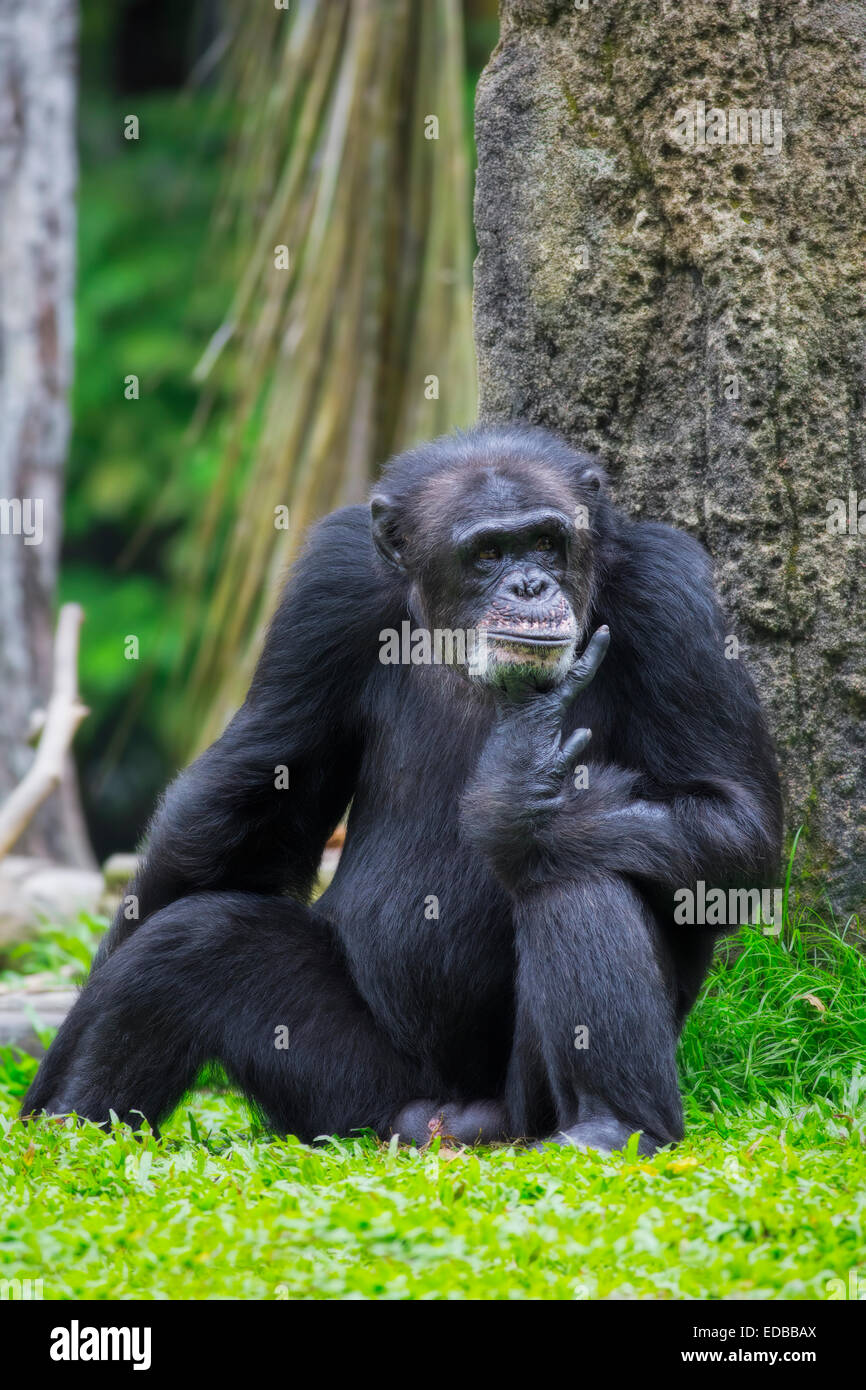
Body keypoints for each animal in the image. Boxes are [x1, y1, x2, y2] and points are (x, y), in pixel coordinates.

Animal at [22, 419, 783, 1150]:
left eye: (546, 541)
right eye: (487, 554)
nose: (530, 587)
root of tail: (449, 1121)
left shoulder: (671, 594)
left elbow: (737, 824)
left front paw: (514, 796)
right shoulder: (330, 586)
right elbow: (249, 801)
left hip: (518, 1109)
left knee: (574, 867)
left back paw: (612, 1123)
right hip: (353, 1097)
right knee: (197, 938)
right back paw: (74, 1126)